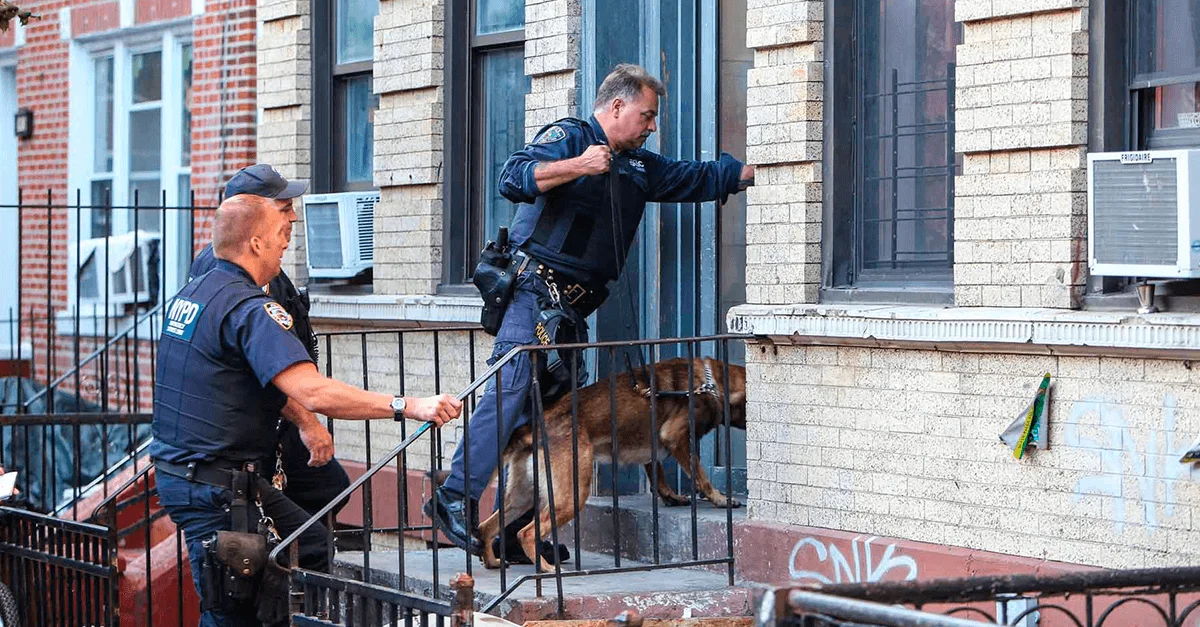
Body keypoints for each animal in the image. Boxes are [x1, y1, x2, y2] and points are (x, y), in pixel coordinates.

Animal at [475, 353, 739, 569]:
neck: (710, 381)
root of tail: (533, 427)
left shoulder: (652, 443)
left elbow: (657, 473)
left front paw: (671, 496)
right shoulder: (676, 437)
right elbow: (700, 476)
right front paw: (720, 499)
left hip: (523, 496)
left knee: (486, 527)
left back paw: (492, 561)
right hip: (571, 495)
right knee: (526, 533)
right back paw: (547, 568)